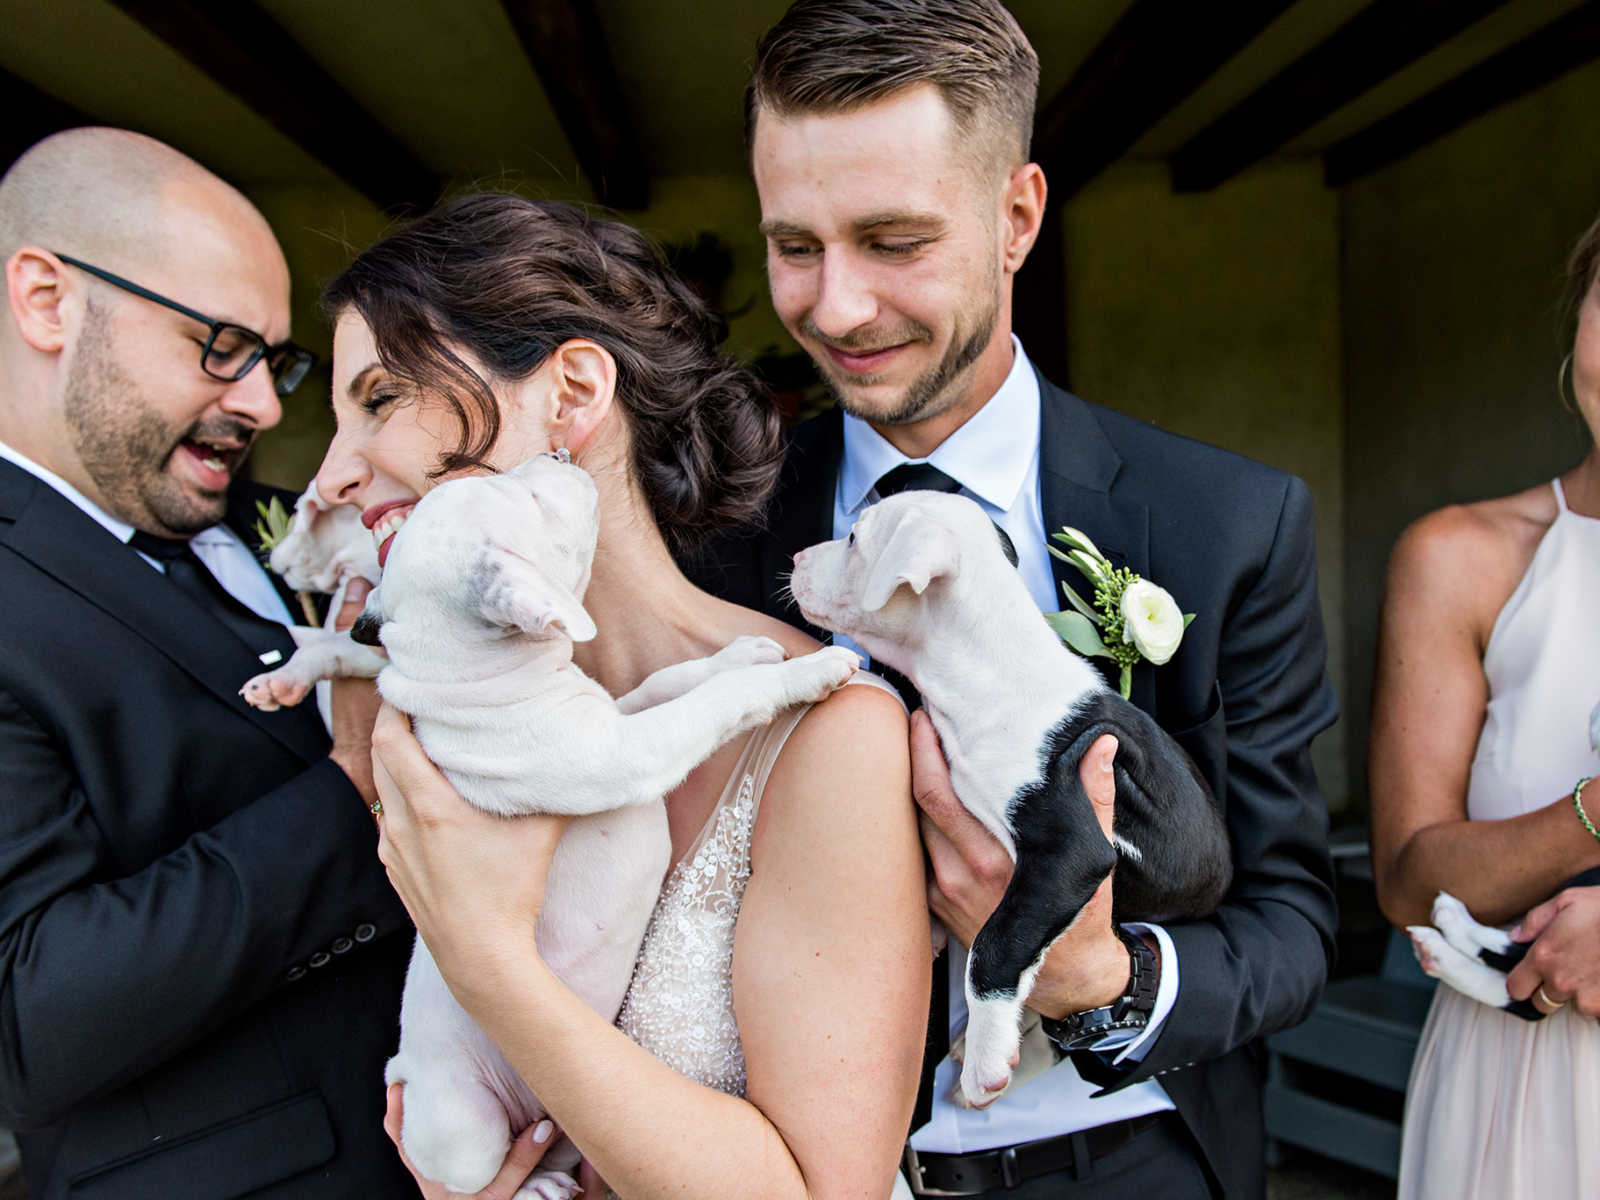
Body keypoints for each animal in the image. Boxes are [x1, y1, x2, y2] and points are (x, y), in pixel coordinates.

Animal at [336, 454, 857, 1196]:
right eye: (525, 493)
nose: (555, 457)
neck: (468, 678)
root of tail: (403, 1069)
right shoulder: (627, 754)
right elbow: (716, 703)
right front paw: (804, 672)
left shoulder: (616, 716)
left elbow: (669, 683)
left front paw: (740, 655)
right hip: (461, 1125)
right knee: (483, 1175)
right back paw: (535, 1185)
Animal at [793, 489, 1228, 1107]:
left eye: (854, 539)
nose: (798, 557)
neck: (985, 673)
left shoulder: (1071, 851)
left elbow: (995, 943)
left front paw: (987, 1058)